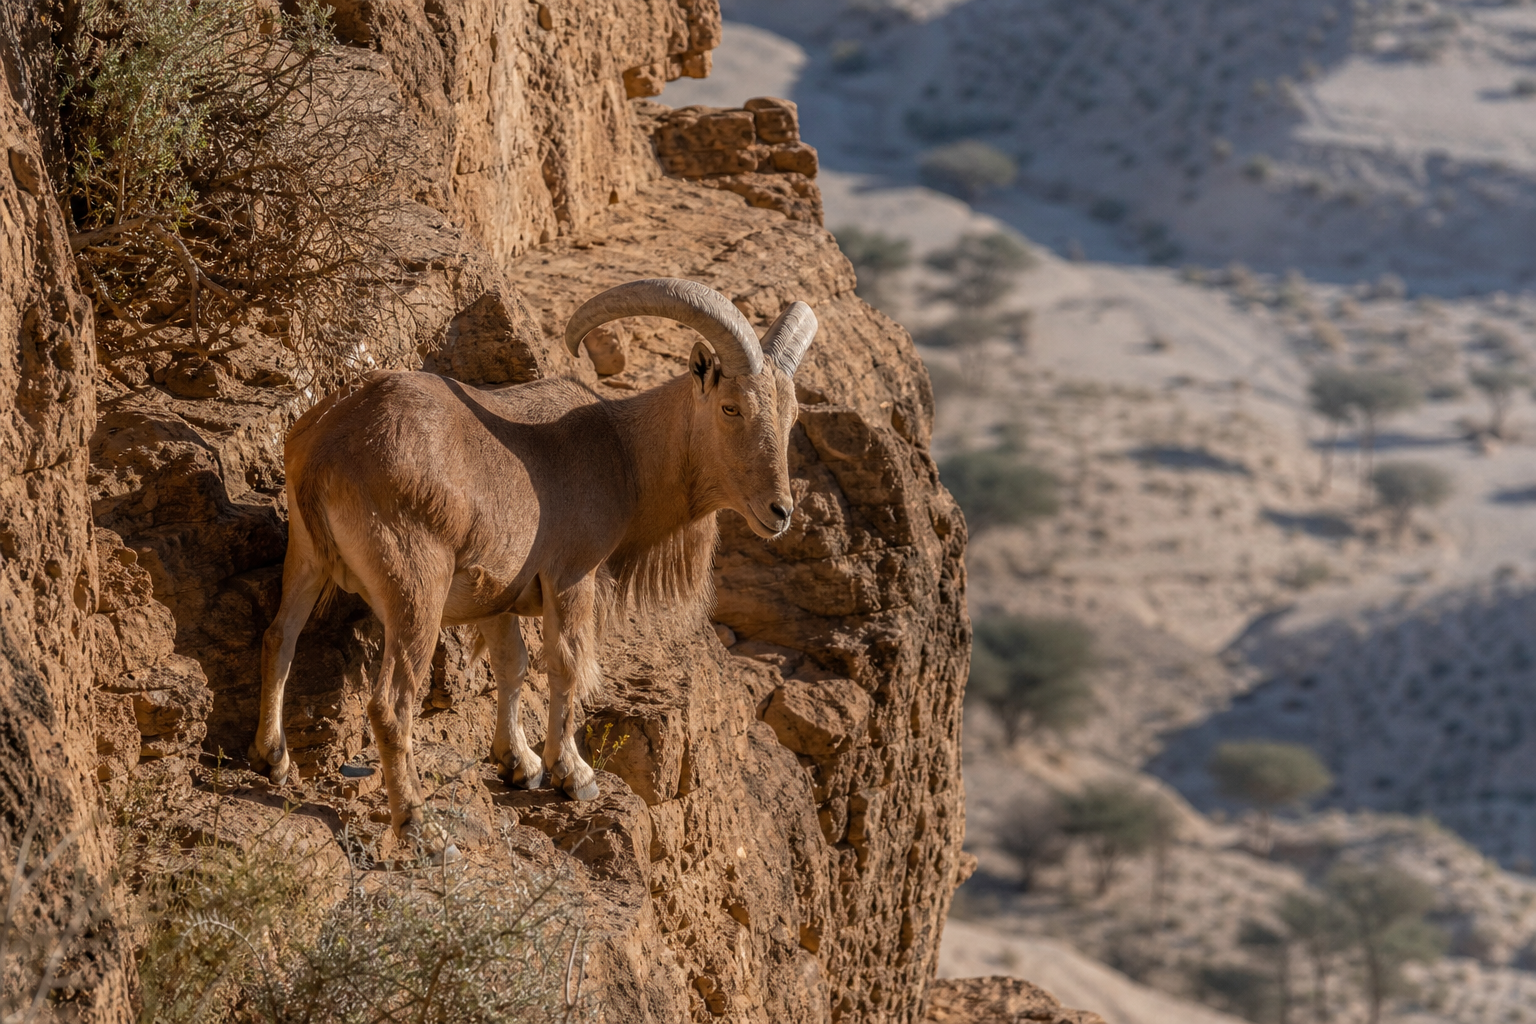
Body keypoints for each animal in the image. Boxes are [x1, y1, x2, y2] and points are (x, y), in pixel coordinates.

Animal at [248, 278, 818, 856]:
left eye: (790, 416)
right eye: (731, 408)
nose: (780, 511)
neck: (623, 453)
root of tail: (328, 446)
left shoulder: (495, 593)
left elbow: (512, 664)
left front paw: (518, 763)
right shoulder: (571, 577)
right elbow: (565, 664)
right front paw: (573, 773)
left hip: (306, 557)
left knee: (279, 638)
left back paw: (273, 759)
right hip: (416, 586)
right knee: (390, 705)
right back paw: (421, 827)